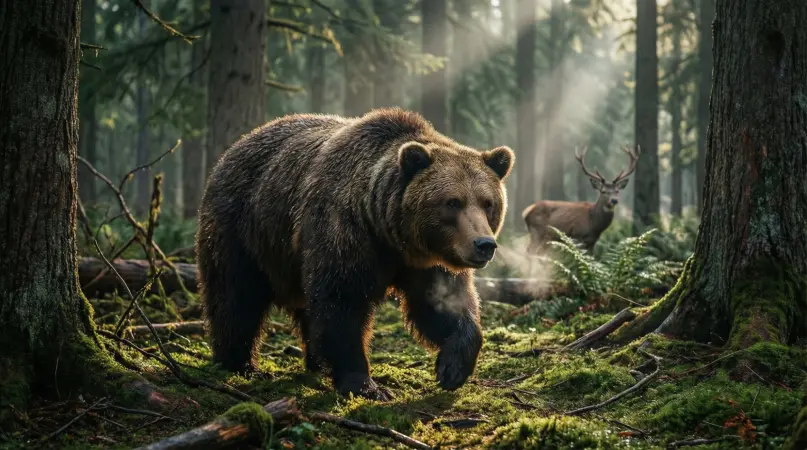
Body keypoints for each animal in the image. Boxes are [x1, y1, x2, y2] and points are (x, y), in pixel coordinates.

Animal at [195, 107, 514, 400]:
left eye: (487, 202)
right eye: (452, 202)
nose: (484, 244)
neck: (390, 233)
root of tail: (234, 148)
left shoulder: (428, 262)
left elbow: (442, 304)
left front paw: (452, 369)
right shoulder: (345, 232)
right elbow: (342, 303)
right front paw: (366, 384)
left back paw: (314, 362)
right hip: (243, 229)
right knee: (235, 295)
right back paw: (241, 363)